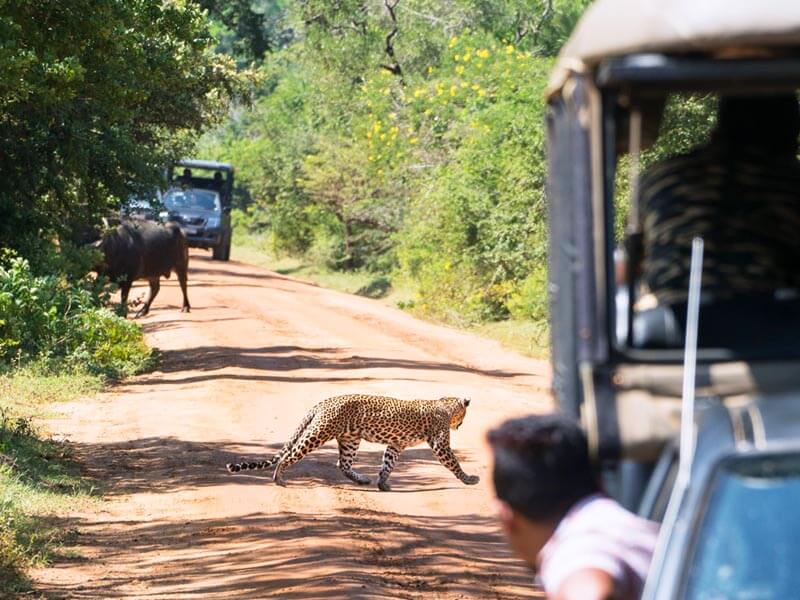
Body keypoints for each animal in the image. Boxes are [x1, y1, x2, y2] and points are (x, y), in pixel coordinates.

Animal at [225, 396, 478, 490]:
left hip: (350, 440)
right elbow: (454, 463)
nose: (461, 425)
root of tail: (322, 403)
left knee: (343, 465)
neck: (447, 403)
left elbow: (388, 464)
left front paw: (382, 483)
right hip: (318, 433)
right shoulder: (440, 444)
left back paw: (363, 479)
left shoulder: (396, 445)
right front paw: (469, 479)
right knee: (290, 454)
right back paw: (278, 478)